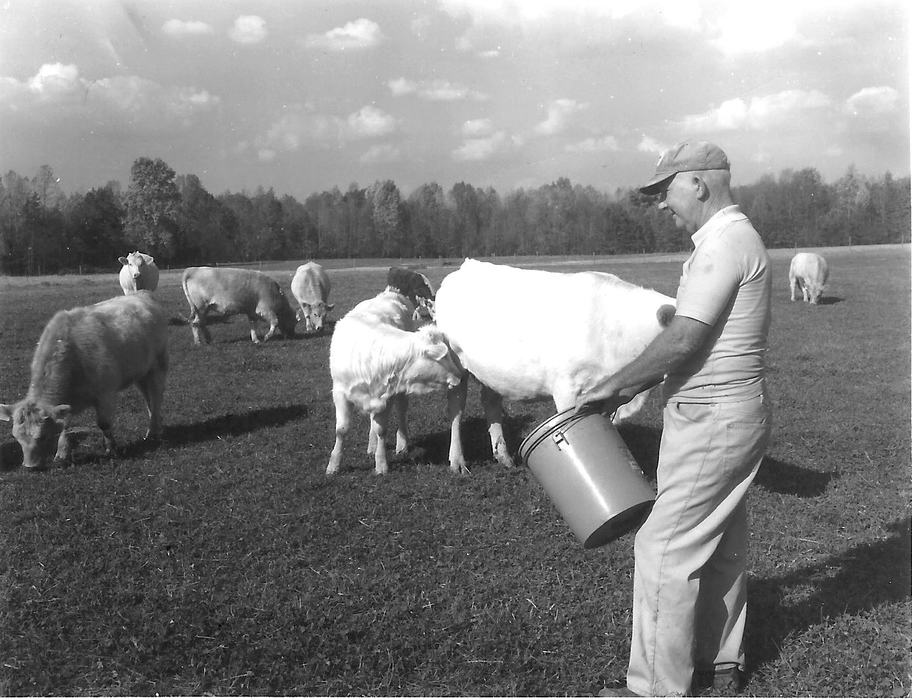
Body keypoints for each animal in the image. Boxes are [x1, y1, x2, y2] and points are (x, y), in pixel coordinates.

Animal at [0, 291, 168, 469]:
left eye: (43, 436)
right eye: (16, 438)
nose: (29, 466)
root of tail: (142, 294)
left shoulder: (105, 394)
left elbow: (104, 423)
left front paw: (111, 449)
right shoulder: (67, 402)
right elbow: (65, 426)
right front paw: (62, 454)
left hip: (159, 365)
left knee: (157, 396)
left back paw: (153, 432)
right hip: (141, 373)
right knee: (148, 398)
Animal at [326, 290, 464, 476]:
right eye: (445, 357)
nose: (460, 376)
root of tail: (389, 293)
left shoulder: (387, 398)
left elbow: (381, 430)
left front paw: (381, 464)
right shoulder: (340, 394)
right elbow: (341, 430)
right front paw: (333, 465)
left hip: (399, 394)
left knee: (401, 412)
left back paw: (401, 443)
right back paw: (371, 446)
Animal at [434, 259, 676, 470]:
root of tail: (468, 265)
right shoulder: (568, 388)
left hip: (493, 372)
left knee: (490, 401)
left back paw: (503, 456)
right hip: (455, 364)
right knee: (456, 409)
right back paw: (457, 461)